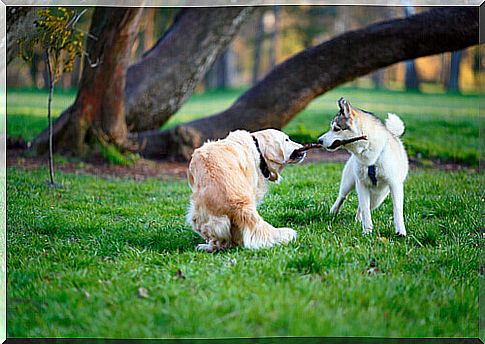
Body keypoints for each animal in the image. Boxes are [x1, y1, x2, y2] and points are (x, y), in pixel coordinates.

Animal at [318, 97, 408, 236]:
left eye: (337, 129)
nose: (319, 141)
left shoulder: (395, 184)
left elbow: (397, 208)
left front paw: (400, 231)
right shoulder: (361, 184)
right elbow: (365, 209)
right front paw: (367, 231)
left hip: (379, 197)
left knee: (367, 205)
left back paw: (357, 219)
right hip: (349, 182)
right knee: (343, 197)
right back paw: (334, 211)